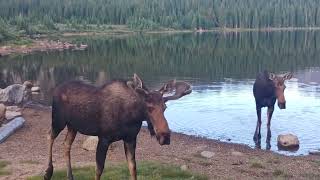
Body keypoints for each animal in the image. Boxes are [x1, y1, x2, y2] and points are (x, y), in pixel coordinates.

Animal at [43, 74, 191, 180]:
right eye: (149, 107)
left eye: (165, 107)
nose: (165, 136)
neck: (131, 117)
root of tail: (56, 89)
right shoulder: (104, 139)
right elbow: (99, 170)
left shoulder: (130, 139)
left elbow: (133, 168)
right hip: (58, 120)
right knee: (49, 135)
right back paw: (48, 172)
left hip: (73, 126)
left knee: (66, 144)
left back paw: (70, 176)